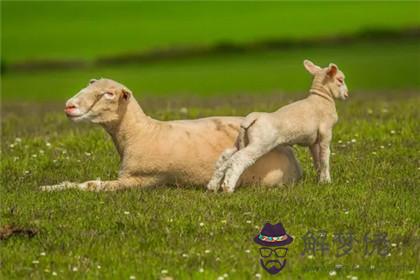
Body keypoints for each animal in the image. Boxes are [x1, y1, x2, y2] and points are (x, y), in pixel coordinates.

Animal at [41, 80, 302, 191]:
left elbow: (92, 185)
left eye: (108, 94)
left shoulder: (143, 179)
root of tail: (294, 159)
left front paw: (53, 189)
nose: (69, 106)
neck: (141, 132)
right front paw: (53, 186)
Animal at [208, 59, 350, 192]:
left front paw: (319, 179)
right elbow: (325, 157)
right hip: (260, 143)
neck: (322, 98)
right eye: (340, 80)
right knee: (239, 159)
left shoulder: (313, 142)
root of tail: (253, 117)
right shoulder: (326, 132)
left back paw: (213, 186)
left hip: (243, 140)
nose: (347, 95)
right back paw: (228, 188)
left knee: (226, 157)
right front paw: (326, 182)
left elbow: (317, 160)